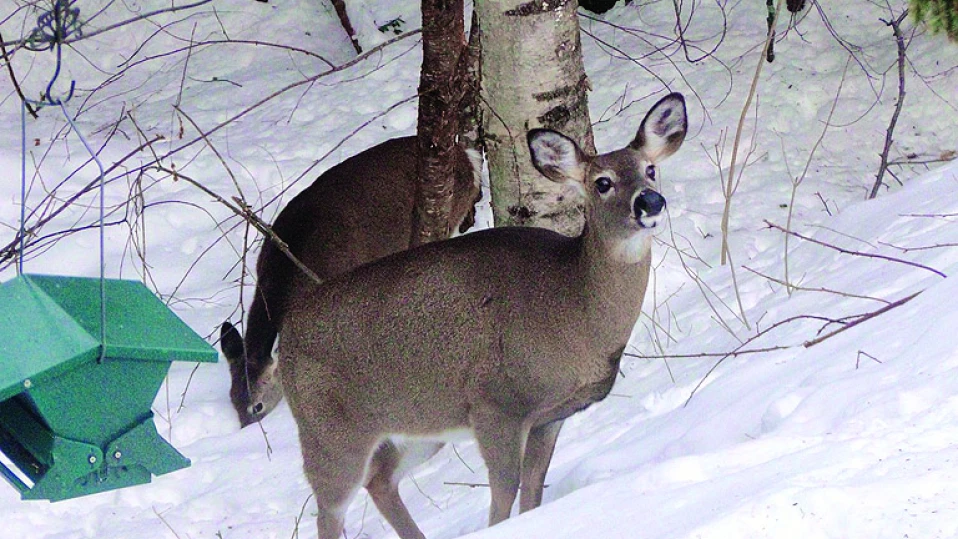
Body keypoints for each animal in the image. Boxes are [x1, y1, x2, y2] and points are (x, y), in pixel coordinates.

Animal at [253, 94, 688, 539]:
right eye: (602, 182)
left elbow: (533, 489)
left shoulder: (551, 416)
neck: (570, 306)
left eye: (650, 169)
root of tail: (287, 336)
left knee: (380, 479)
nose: (650, 201)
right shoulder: (494, 404)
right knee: (329, 509)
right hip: (329, 434)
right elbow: (504, 492)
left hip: (420, 423)